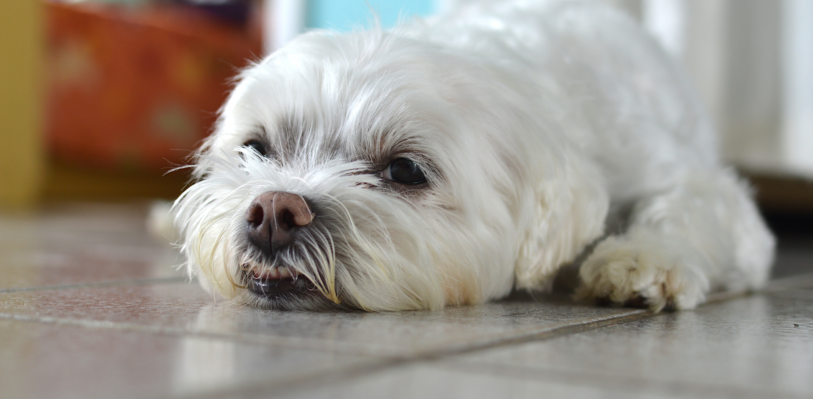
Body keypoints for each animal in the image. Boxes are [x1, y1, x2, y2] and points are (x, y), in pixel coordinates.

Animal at [173, 0, 772, 312]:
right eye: (256, 148)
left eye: (405, 170)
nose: (274, 211)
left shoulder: (690, 181)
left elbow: (690, 204)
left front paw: (644, 259)